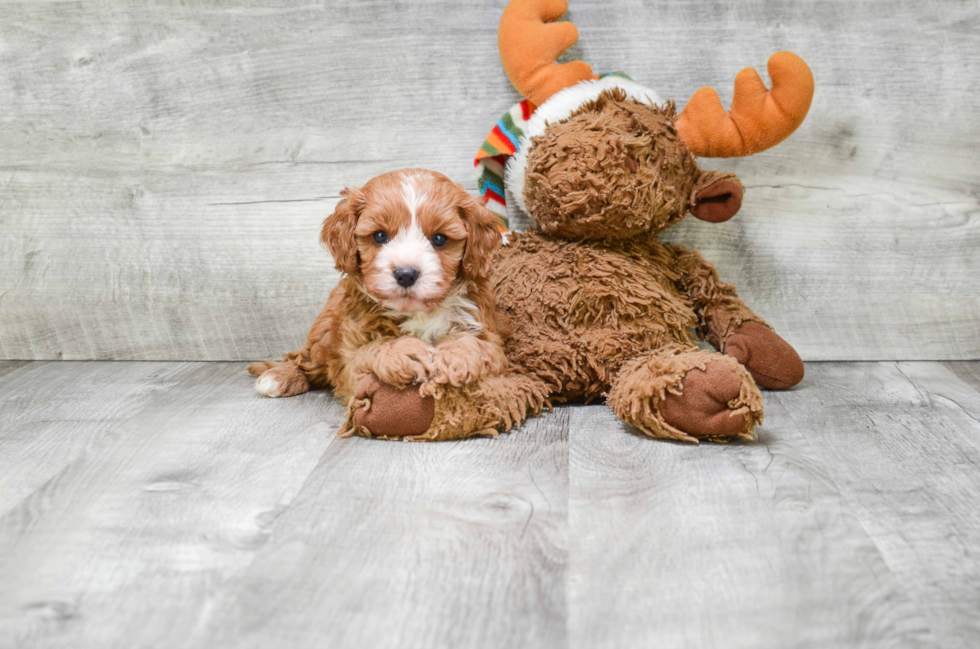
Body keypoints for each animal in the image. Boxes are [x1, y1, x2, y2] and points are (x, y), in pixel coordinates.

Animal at [247, 168, 512, 436]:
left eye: (439, 239)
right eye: (380, 236)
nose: (406, 274)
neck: (418, 312)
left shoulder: (491, 335)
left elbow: (476, 343)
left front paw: (455, 356)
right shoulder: (349, 357)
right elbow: (368, 351)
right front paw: (405, 352)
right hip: (323, 332)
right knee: (304, 359)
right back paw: (279, 377)